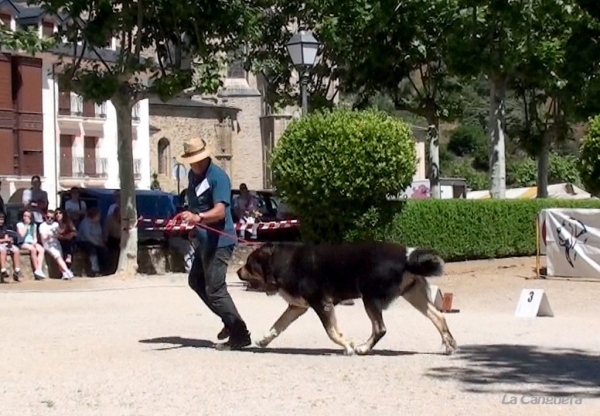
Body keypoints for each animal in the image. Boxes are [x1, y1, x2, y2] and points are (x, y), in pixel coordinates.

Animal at [237, 242, 458, 356]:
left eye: (248, 264)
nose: (238, 271)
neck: (283, 262)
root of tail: (406, 257)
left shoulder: (321, 303)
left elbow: (331, 332)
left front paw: (348, 345)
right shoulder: (297, 306)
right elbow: (278, 324)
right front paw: (264, 339)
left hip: (369, 297)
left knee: (380, 329)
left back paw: (363, 348)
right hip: (413, 295)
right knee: (439, 317)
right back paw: (449, 345)